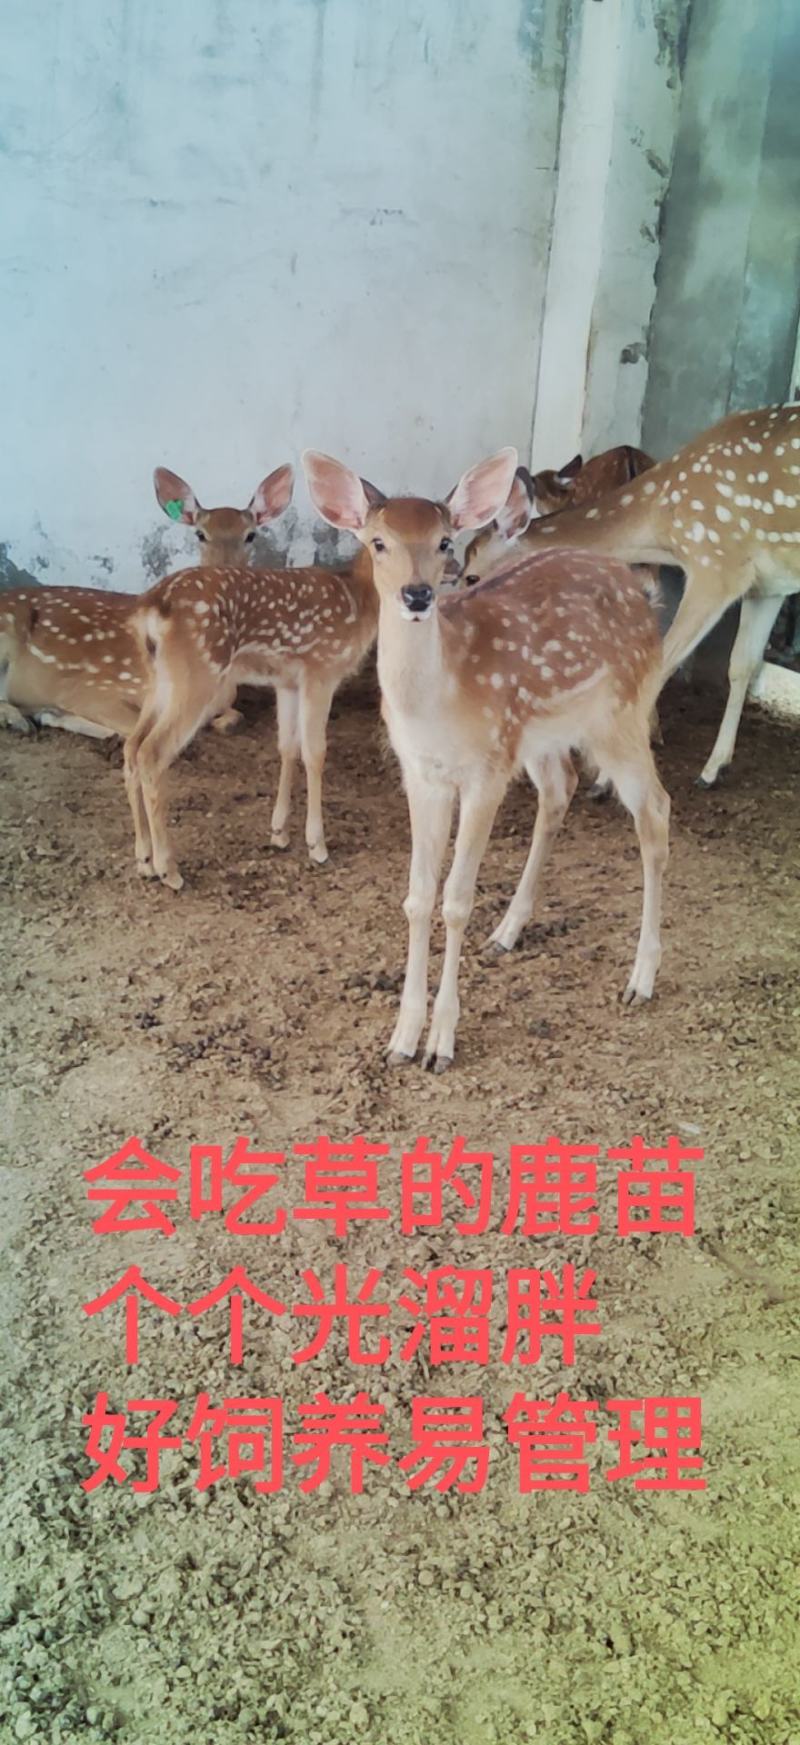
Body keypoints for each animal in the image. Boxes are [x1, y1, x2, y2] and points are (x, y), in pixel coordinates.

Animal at [0, 465, 292, 741]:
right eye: (200, 534)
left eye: (250, 535)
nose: (223, 574)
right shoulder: (91, 688)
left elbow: (233, 717)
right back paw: (18, 720)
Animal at [303, 447, 670, 1073]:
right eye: (378, 542)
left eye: (445, 540)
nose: (418, 595)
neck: (440, 701)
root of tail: (643, 594)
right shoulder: (422, 774)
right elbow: (417, 897)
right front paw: (402, 1038)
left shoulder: (486, 770)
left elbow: (455, 900)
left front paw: (441, 1044)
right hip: (543, 735)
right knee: (561, 788)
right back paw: (508, 931)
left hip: (619, 715)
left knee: (656, 809)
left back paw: (641, 978)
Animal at [461, 404, 800, 787]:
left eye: (471, 574)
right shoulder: (768, 584)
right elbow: (742, 664)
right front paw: (713, 768)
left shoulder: (717, 565)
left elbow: (661, 664)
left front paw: (604, 777)